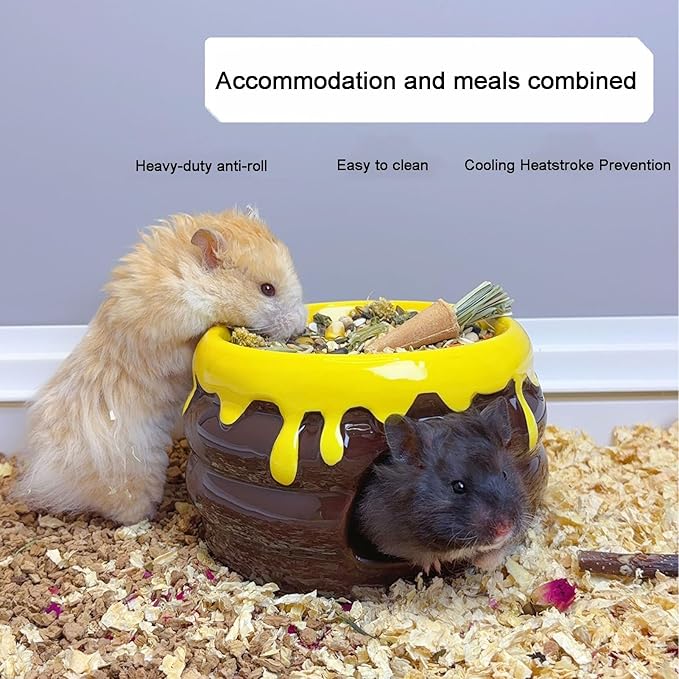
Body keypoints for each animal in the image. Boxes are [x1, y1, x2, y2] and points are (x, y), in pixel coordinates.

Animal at [14, 207, 306, 525]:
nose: (299, 327)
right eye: (267, 289)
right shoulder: (167, 330)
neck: (191, 281)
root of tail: (46, 473)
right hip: (133, 479)